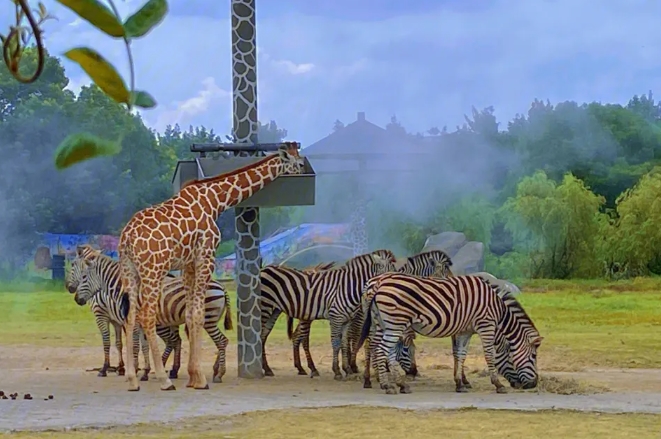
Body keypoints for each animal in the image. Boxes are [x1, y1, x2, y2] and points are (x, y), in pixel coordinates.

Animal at [68, 246, 233, 384]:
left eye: (83, 276)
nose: (75, 297)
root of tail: (222, 286)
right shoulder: (135, 322)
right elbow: (144, 346)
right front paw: (145, 372)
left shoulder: (114, 317)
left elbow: (133, 346)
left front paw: (132, 370)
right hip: (206, 319)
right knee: (214, 341)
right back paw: (212, 370)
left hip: (207, 319)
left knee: (221, 341)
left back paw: (218, 374)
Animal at [118, 144, 304, 392]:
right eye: (300, 162)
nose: (305, 172)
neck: (216, 201)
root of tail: (127, 238)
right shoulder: (206, 255)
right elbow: (197, 313)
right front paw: (200, 379)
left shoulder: (188, 263)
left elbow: (189, 315)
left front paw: (192, 377)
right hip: (153, 270)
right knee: (146, 315)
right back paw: (164, 380)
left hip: (129, 271)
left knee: (130, 316)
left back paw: (132, 379)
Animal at [258, 249, 394, 380]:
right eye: (392, 270)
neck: (349, 287)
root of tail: (263, 269)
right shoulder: (337, 317)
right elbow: (337, 343)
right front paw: (338, 371)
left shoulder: (347, 320)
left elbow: (344, 344)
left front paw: (347, 369)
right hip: (265, 307)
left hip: (275, 311)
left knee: (264, 336)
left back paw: (269, 369)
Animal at [356, 276, 540, 396]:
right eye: (533, 357)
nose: (533, 384)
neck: (498, 309)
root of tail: (378, 283)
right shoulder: (486, 325)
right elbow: (489, 355)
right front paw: (498, 384)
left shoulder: (465, 330)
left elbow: (460, 354)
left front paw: (460, 383)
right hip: (394, 323)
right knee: (381, 350)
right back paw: (388, 385)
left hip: (382, 323)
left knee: (380, 349)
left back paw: (396, 384)